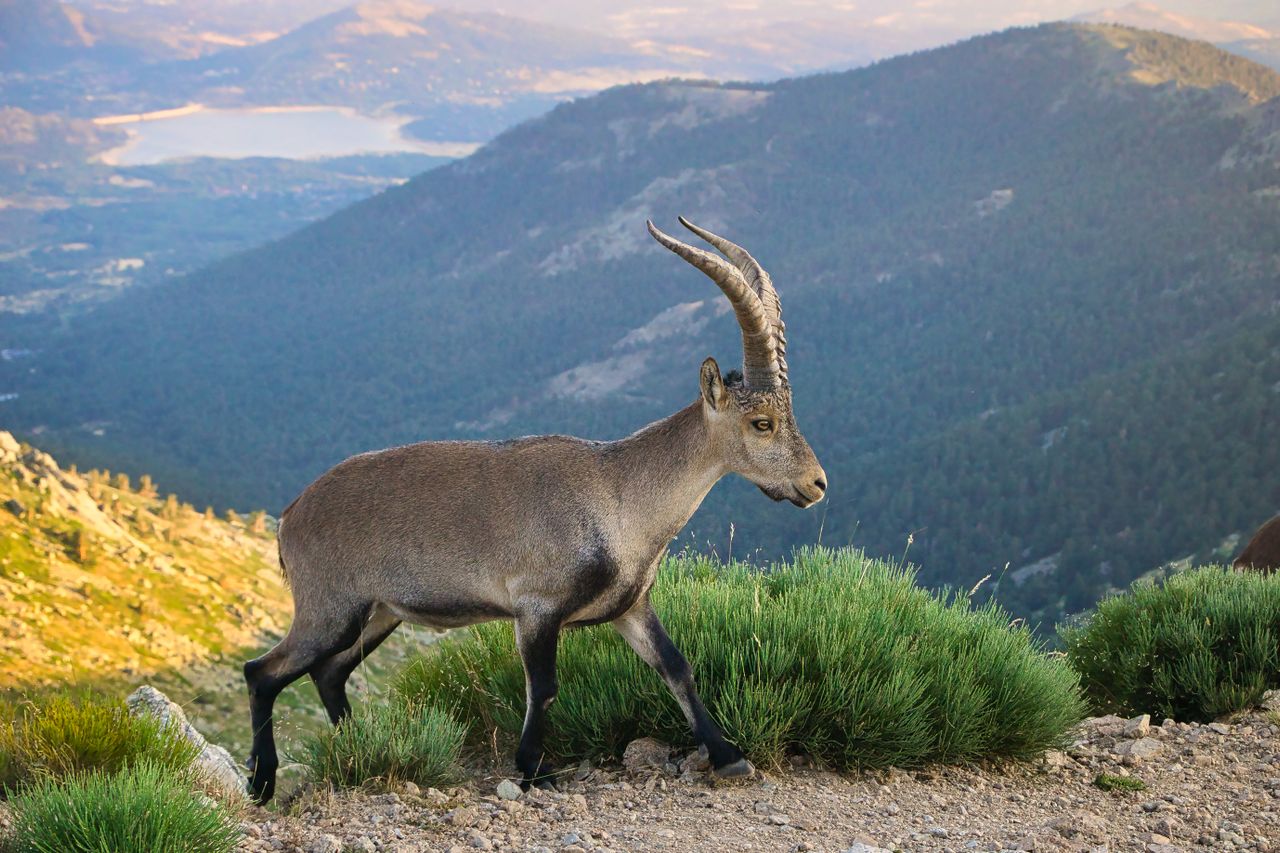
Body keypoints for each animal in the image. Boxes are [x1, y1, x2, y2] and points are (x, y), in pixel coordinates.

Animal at [244, 217, 827, 803]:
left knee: (328, 674)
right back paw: (262, 780)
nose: (816, 484)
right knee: (263, 671)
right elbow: (544, 688)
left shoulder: (630, 606)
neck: (621, 498)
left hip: (380, 612)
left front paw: (730, 757)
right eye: (761, 424)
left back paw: (356, 745)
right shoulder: (537, 607)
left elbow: (676, 667)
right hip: (330, 608)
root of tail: (290, 516)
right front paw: (532, 769)